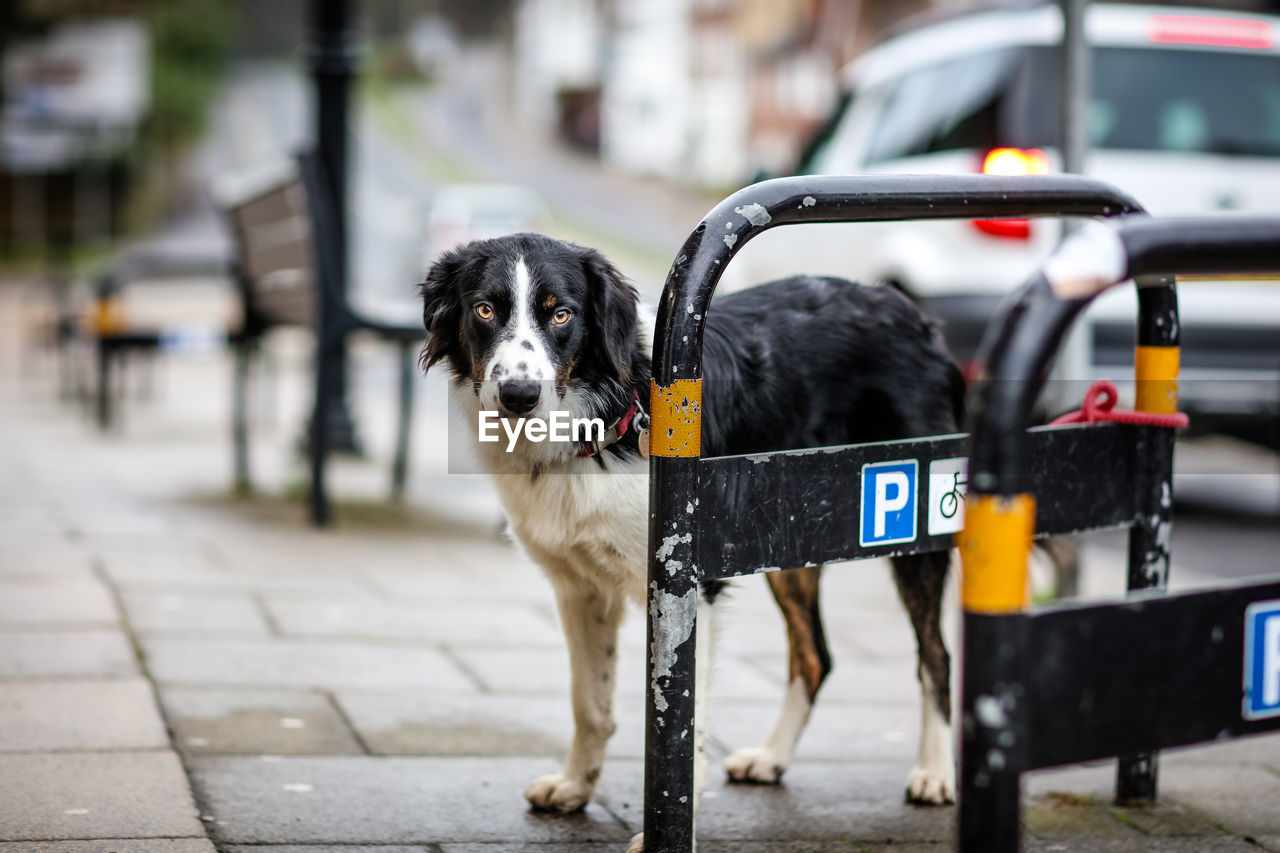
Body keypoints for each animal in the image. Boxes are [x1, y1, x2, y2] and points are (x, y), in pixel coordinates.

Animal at [419, 229, 962, 845]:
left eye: (561, 314)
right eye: (484, 310)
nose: (517, 395)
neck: (604, 413)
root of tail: (909, 311)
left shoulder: (684, 587)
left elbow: (684, 718)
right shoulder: (581, 588)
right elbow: (590, 703)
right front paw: (576, 787)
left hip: (915, 526)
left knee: (935, 655)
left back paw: (934, 772)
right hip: (790, 534)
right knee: (815, 655)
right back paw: (771, 758)